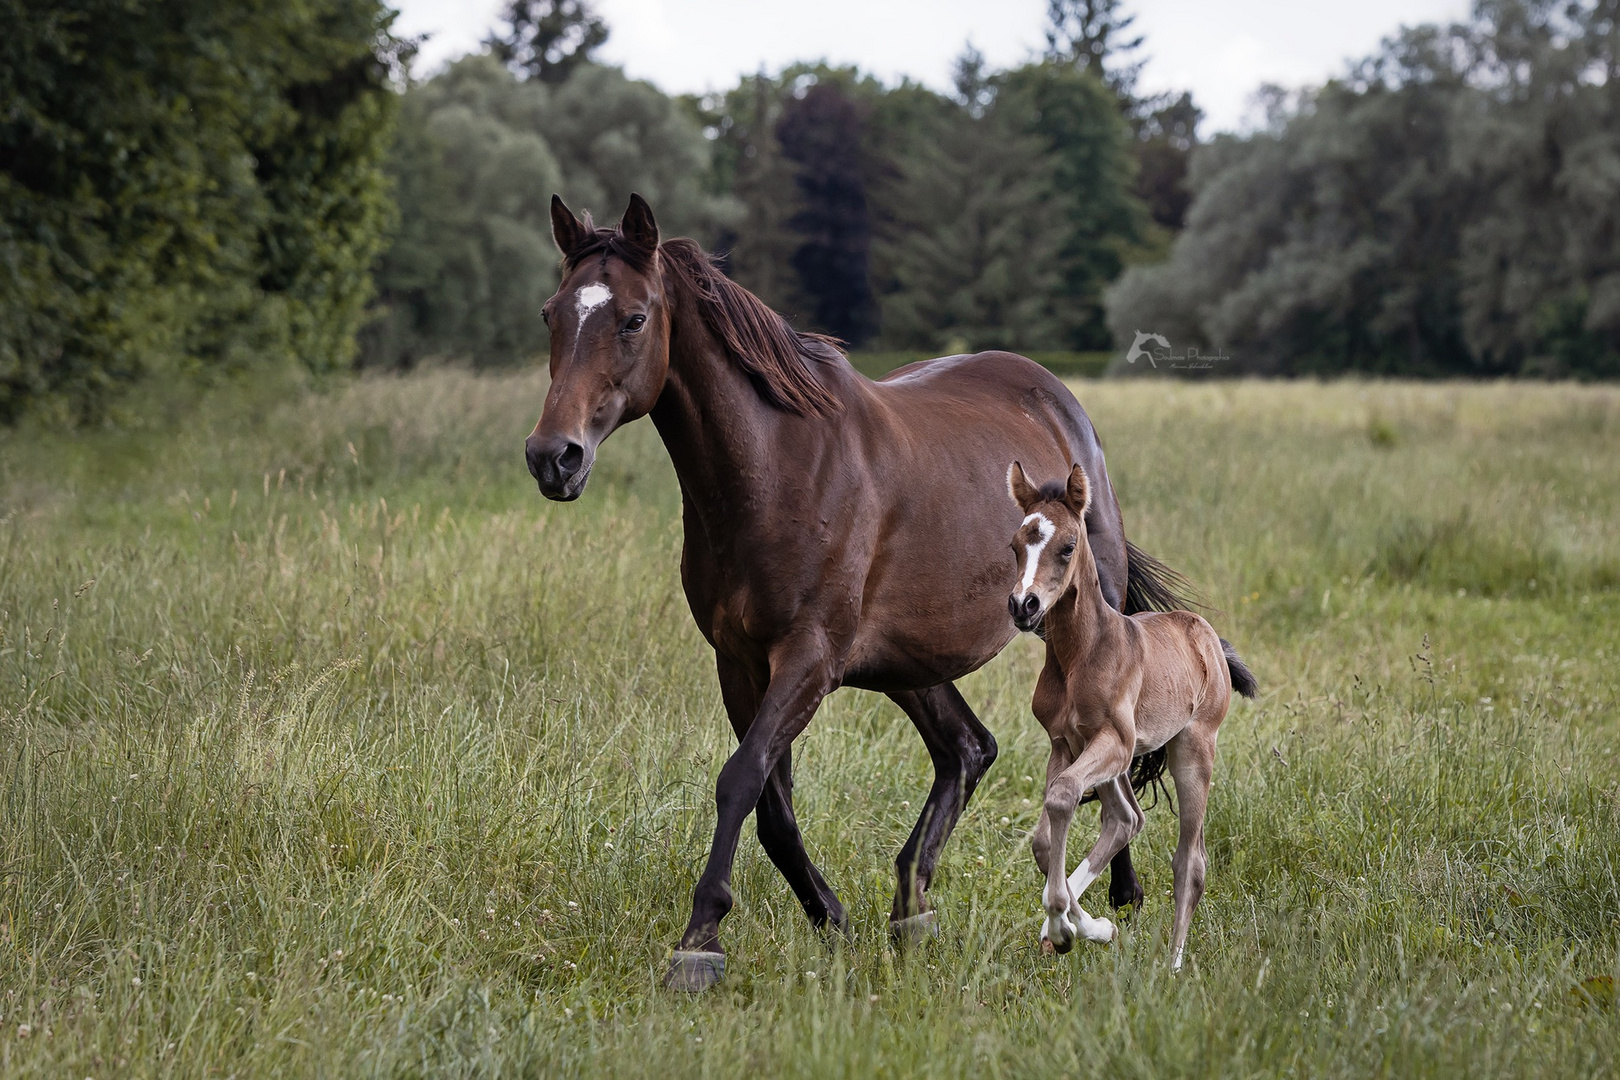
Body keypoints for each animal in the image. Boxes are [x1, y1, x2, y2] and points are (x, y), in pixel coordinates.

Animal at [1004, 459, 1257, 965]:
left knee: (1190, 861)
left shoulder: (1112, 742)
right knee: (1127, 818)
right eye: (1016, 546)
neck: (1080, 655)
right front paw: (1083, 927)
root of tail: (1207, 637)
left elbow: (1062, 797)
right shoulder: (1065, 743)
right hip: (1117, 758)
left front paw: (1064, 925)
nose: (1024, 606)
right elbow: (1045, 836)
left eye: (1067, 546)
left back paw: (1173, 965)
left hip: (1191, 750)